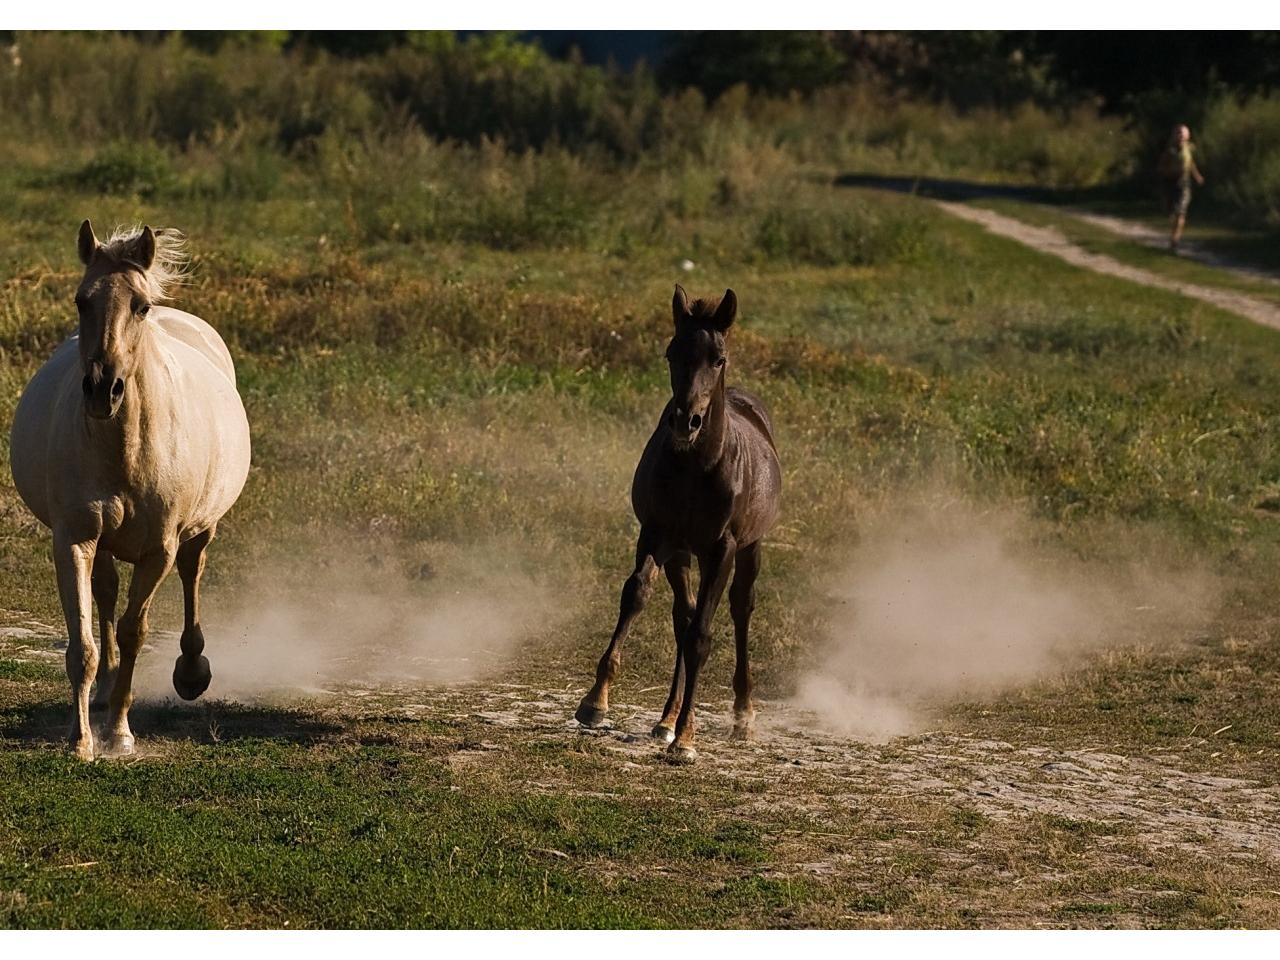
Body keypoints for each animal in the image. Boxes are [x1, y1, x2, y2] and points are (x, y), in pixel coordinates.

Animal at [10, 221, 252, 762]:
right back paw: (103, 690)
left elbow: (135, 630)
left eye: (139, 306)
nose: (103, 389)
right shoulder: (74, 539)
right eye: (81, 301)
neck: (126, 446)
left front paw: (120, 734)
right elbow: (82, 642)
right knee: (104, 591)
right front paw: (81, 738)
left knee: (192, 571)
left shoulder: (158, 550)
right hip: (103, 540)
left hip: (201, 527)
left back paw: (191, 671)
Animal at [578, 285, 778, 768]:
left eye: (718, 358)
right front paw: (595, 702)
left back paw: (742, 716)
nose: (686, 421)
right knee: (681, 616)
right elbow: (636, 595)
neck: (695, 468)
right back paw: (665, 720)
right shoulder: (656, 534)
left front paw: (687, 739)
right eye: (672, 353)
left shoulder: (722, 550)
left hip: (749, 548)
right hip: (682, 554)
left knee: (739, 610)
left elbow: (703, 634)